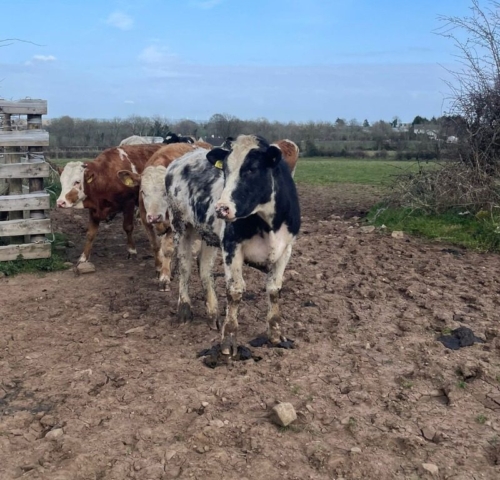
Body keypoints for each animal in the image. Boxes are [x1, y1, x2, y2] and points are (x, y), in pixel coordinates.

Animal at [118, 142, 210, 290]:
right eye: (143, 191)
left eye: (165, 192)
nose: (154, 217)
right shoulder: (145, 220)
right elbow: (155, 245)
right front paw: (159, 268)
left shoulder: (174, 225)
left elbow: (167, 249)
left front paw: (165, 276)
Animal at [164, 135, 300, 356]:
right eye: (225, 171)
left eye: (252, 169)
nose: (221, 208)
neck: (267, 222)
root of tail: (180, 160)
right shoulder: (231, 246)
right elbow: (235, 291)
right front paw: (228, 340)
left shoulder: (286, 249)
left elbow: (274, 289)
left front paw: (276, 335)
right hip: (181, 226)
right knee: (185, 267)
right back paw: (184, 310)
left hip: (208, 235)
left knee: (205, 270)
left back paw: (212, 314)